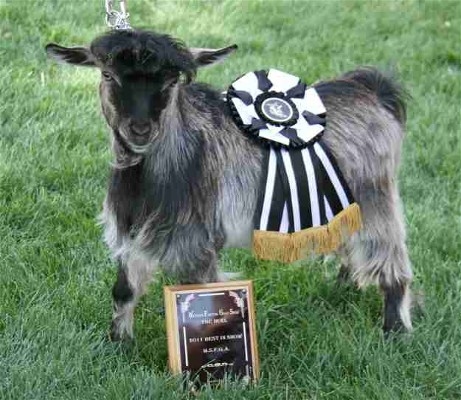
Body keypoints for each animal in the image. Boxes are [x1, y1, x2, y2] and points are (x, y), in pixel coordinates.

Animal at [45, 29, 412, 341]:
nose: (140, 129)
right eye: (107, 75)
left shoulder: (196, 241)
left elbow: (200, 301)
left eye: (172, 80)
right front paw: (118, 343)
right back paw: (342, 289)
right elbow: (123, 290)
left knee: (390, 257)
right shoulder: (130, 233)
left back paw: (395, 328)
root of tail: (376, 90)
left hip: (375, 198)